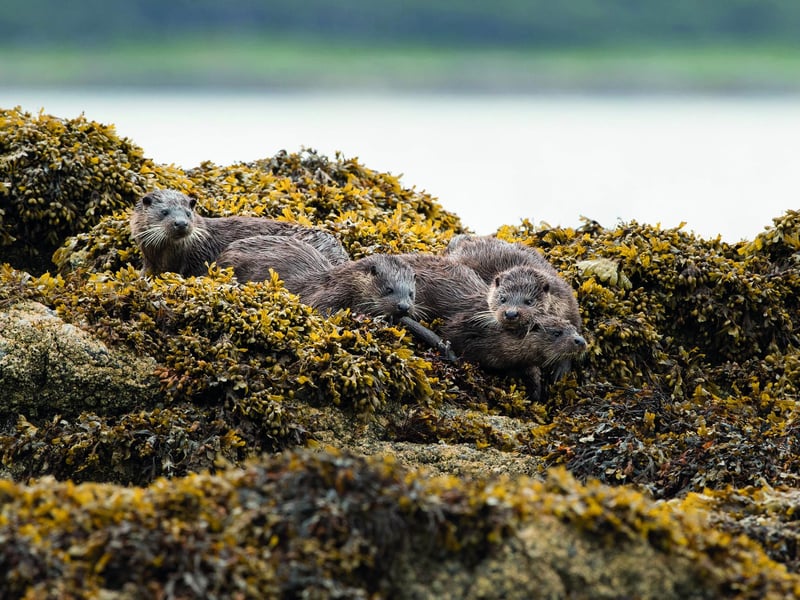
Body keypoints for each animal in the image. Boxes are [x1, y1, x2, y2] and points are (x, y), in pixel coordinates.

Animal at [217, 235, 416, 320]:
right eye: (389, 289)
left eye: (411, 294)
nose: (404, 307)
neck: (344, 283)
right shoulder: (324, 296)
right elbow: (321, 310)